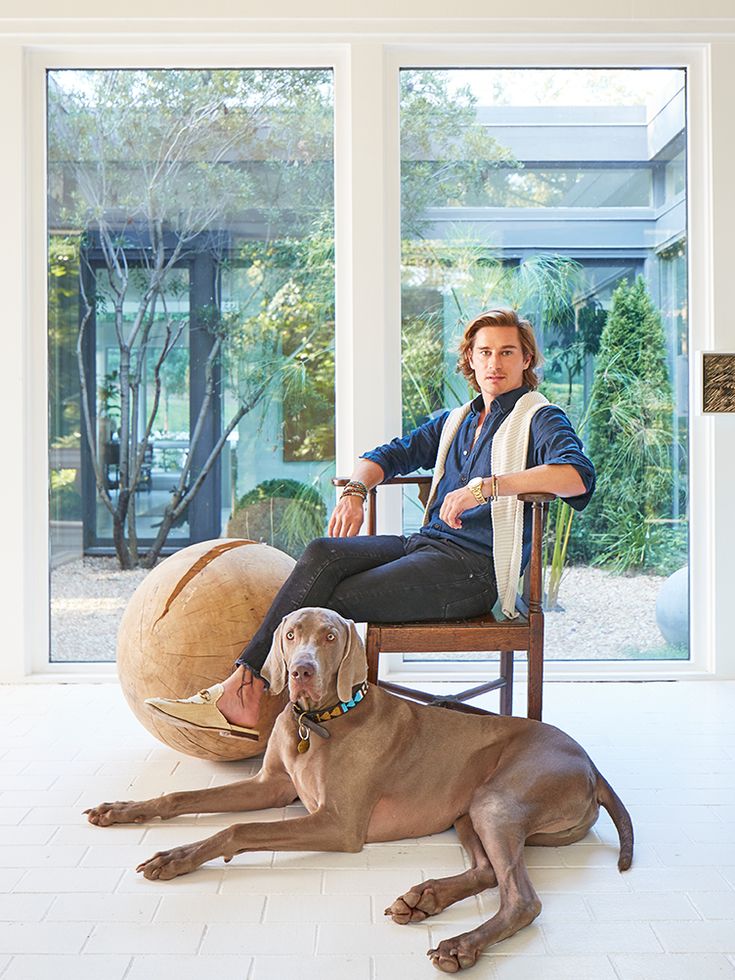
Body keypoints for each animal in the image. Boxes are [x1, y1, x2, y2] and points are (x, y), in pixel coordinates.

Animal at [86, 604, 632, 972]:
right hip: (467, 809)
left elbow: (239, 830)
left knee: (522, 898)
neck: (318, 721)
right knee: (487, 872)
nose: (301, 670)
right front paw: (124, 811)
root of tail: (591, 764)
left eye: (330, 636)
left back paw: (460, 945)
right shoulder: (270, 788)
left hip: (497, 801)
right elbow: (182, 797)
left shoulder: (337, 824)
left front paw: (175, 858)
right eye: (290, 634)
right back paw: (423, 899)